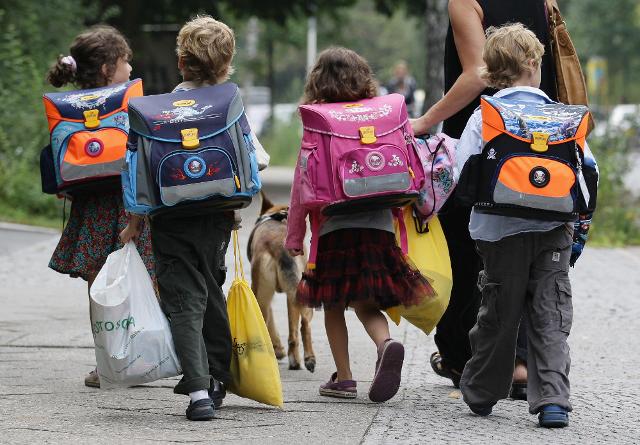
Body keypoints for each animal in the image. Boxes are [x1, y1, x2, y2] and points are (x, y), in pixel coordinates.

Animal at [246, 191, 316, 372]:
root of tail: (277, 247)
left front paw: (278, 349)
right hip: (299, 292)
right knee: (304, 325)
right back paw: (306, 360)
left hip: (260, 295)